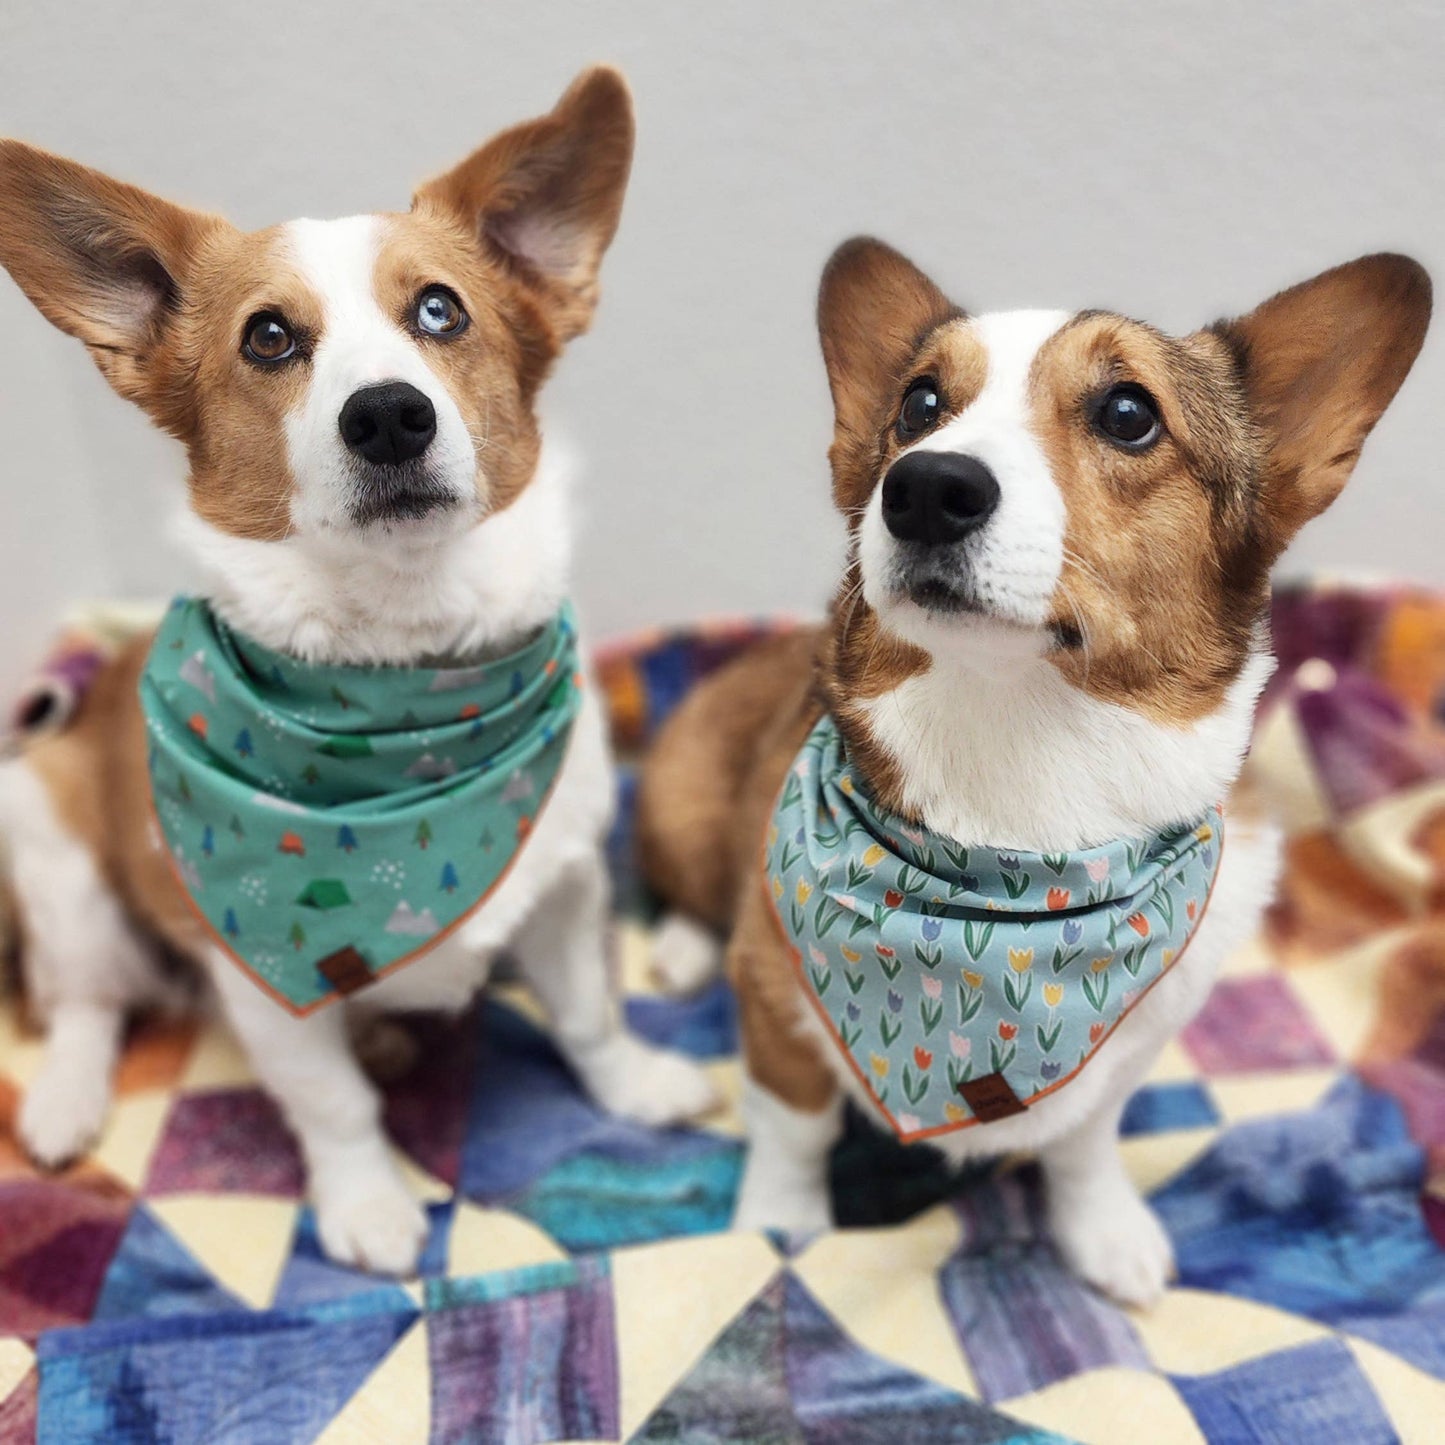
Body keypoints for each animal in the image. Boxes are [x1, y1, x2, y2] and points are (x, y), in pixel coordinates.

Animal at [0, 70, 719, 1277]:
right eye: (268, 337)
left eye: (439, 311)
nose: (388, 414)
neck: (404, 667)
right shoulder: (261, 986)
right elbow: (330, 1102)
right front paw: (368, 1205)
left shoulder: (566, 890)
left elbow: (588, 1017)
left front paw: (636, 1088)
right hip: (54, 850)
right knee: (87, 1004)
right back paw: (60, 1103)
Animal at [644, 239, 1433, 1312]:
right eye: (919, 405)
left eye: (1128, 412)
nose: (922, 487)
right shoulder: (773, 1003)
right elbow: (792, 1128)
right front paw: (778, 1227)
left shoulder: (1121, 1051)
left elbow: (1081, 1142)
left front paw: (1105, 1233)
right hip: (680, 806)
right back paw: (683, 947)